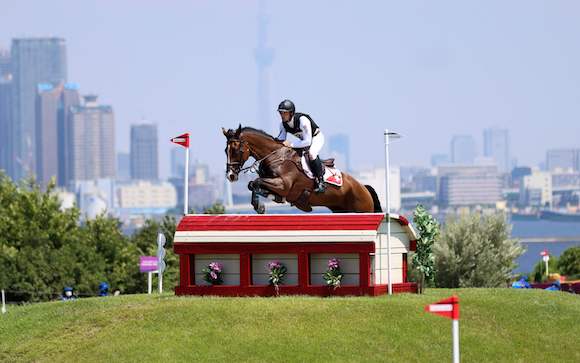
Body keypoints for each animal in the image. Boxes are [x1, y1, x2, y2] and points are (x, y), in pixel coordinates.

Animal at [222, 126, 380, 215]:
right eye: (225, 150)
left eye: (237, 150)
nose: (230, 175)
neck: (275, 156)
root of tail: (363, 187)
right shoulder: (275, 184)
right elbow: (253, 184)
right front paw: (263, 203)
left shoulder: (283, 185)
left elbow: (255, 182)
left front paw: (259, 206)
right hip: (340, 209)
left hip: (362, 208)